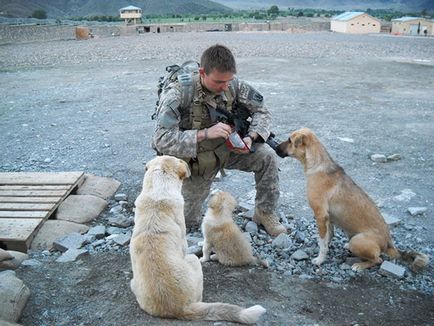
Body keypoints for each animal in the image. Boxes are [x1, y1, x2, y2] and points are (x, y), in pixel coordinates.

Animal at [276, 129, 428, 272]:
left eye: (289, 140)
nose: (275, 146)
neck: (317, 164)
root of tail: (389, 245)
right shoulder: (328, 218)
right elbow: (327, 238)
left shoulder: (320, 215)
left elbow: (323, 242)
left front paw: (319, 260)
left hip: (357, 240)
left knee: (378, 259)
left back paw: (359, 265)